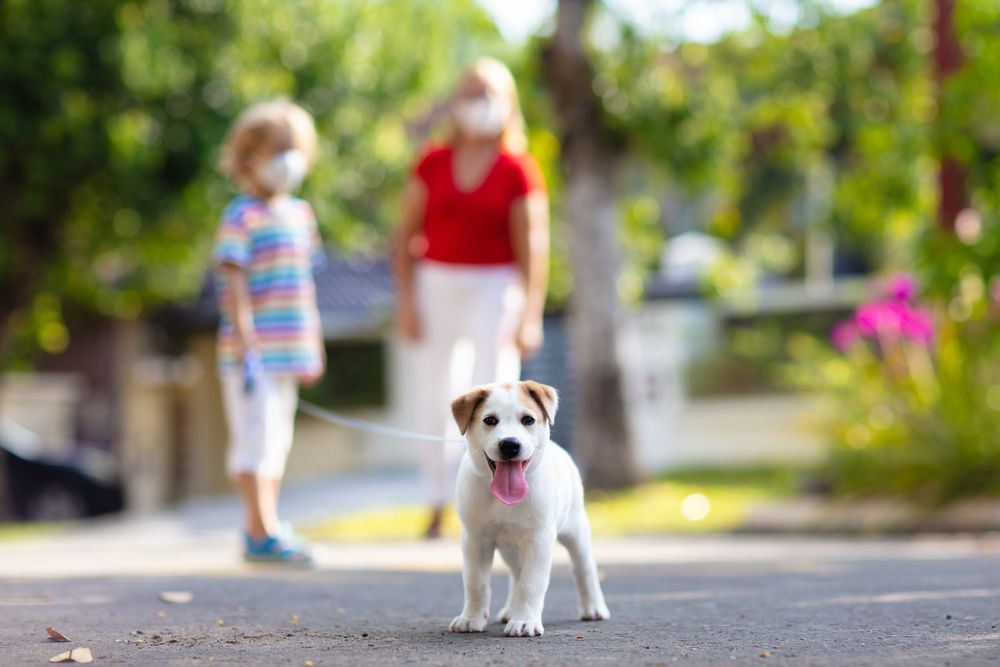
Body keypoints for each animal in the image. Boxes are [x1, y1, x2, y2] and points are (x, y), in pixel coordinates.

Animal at [448, 380, 604, 636]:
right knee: (516, 573)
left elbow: (531, 583)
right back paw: (510, 610)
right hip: (510, 549)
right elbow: (475, 582)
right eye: (490, 420)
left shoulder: (538, 540)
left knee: (584, 568)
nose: (510, 445)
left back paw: (593, 608)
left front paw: (524, 621)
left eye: (528, 420)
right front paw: (471, 618)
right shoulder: (475, 539)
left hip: (576, 531)